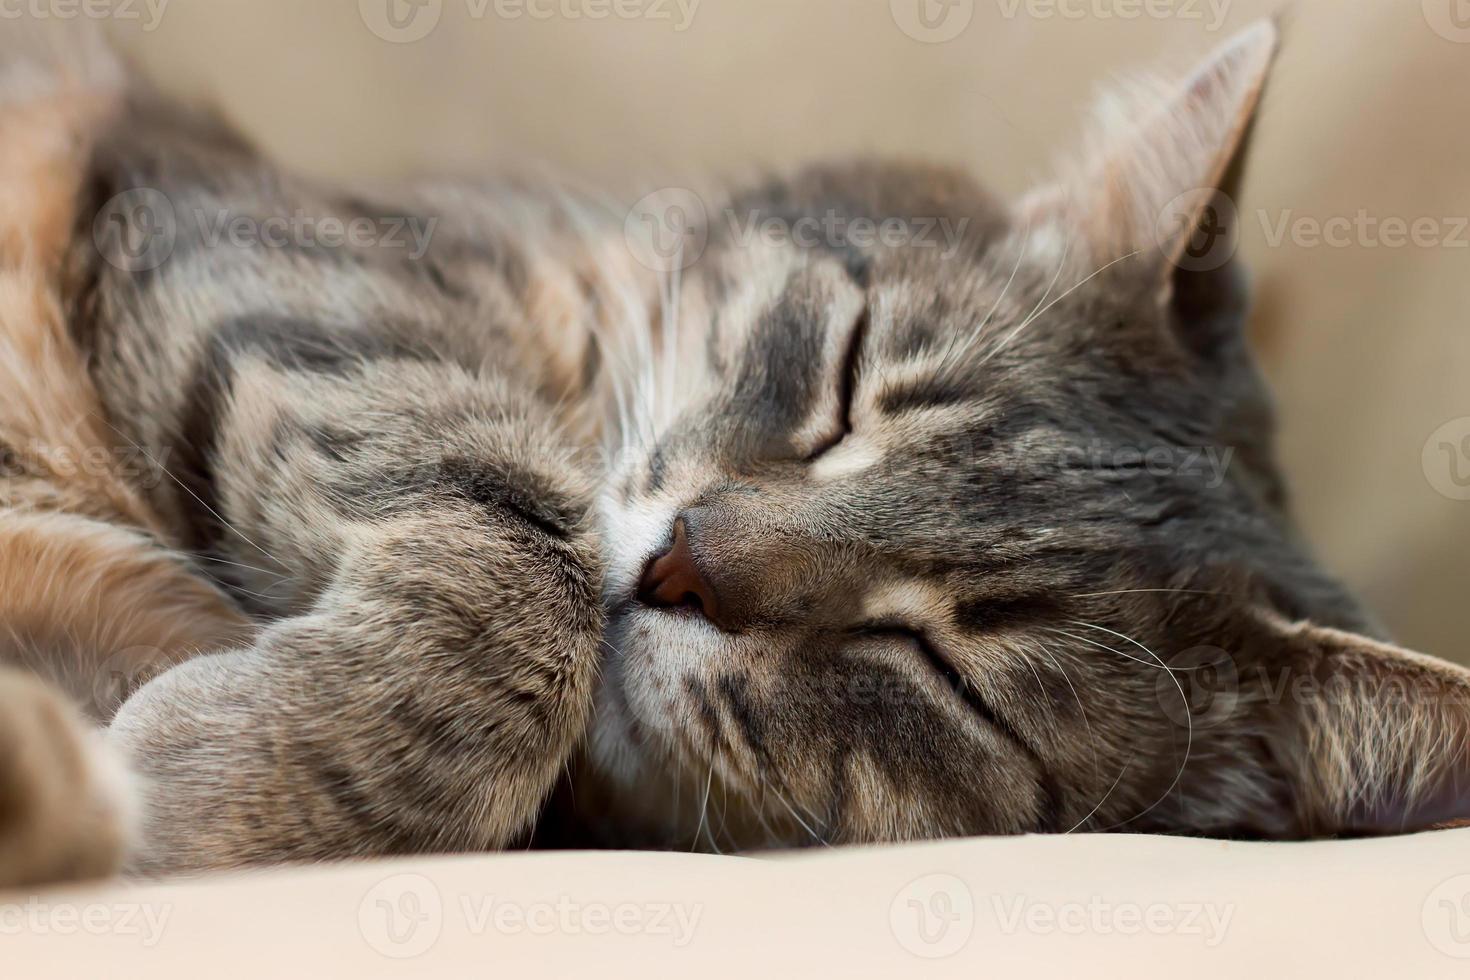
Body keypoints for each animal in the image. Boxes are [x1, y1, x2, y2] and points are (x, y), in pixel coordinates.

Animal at [2, 21, 1470, 881]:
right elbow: (508, 535)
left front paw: (188, 788)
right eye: (844, 381)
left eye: (946, 671)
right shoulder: (264, 243)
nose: (687, 564)